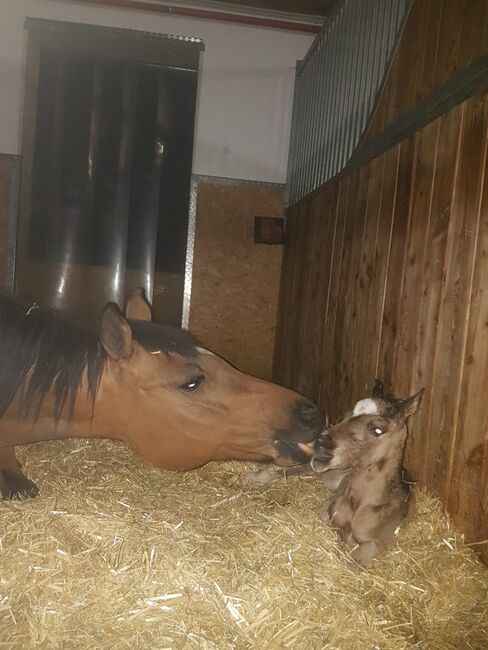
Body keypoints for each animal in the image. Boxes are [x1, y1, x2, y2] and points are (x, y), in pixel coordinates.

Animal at [312, 384, 424, 568]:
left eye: (378, 429)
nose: (321, 447)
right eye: (347, 415)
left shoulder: (374, 544)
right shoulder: (328, 512)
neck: (359, 504)